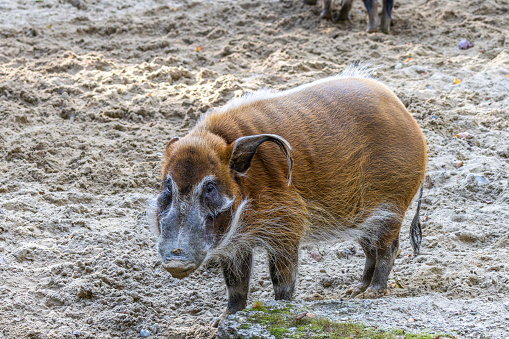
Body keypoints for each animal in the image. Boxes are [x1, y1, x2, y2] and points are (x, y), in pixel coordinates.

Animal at [147, 66, 424, 322]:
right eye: (167, 186)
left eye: (210, 187)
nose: (176, 261)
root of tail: (408, 116)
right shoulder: (235, 243)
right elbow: (236, 283)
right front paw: (224, 319)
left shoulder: (287, 227)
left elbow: (282, 278)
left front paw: (280, 308)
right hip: (362, 218)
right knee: (371, 251)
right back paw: (354, 291)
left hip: (391, 206)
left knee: (388, 248)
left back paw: (372, 292)